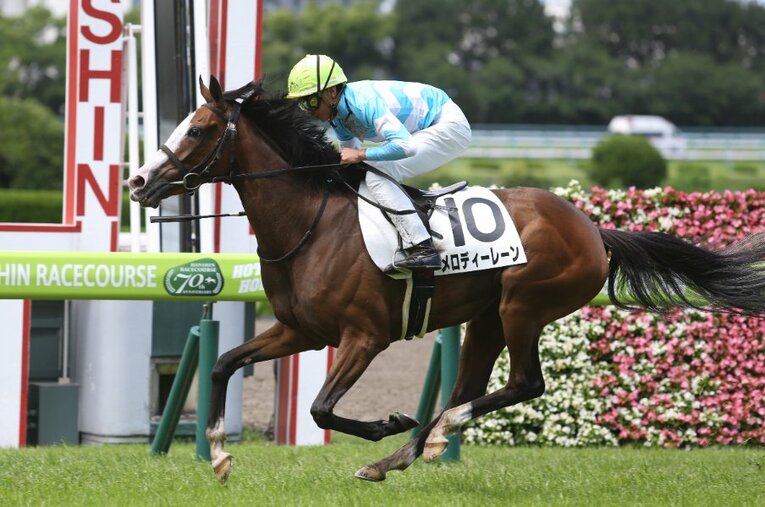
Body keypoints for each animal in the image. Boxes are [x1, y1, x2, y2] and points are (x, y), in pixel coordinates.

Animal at [128, 77, 765, 483]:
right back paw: (404, 453)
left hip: (523, 307)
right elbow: (223, 363)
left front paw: (389, 422)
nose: (137, 181)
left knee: (522, 384)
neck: (313, 223)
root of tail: (592, 228)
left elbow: (321, 410)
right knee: (469, 386)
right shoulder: (300, 331)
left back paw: (427, 436)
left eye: (198, 129)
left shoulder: (364, 336)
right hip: (486, 318)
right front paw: (217, 455)